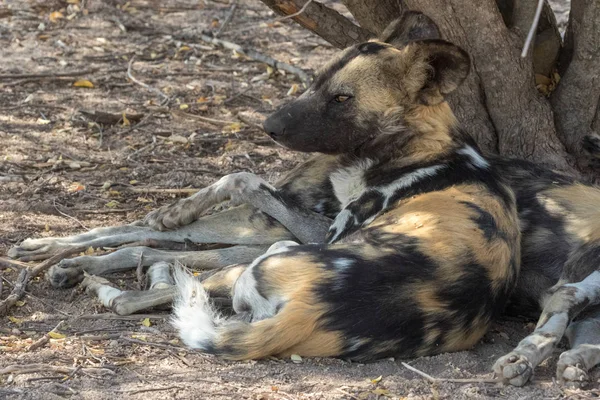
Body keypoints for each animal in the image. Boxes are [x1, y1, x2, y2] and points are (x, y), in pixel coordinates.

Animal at [7, 11, 600, 388]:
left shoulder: (318, 230)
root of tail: (307, 315)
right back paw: (57, 253)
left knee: (167, 272)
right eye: (315, 81)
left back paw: (107, 275)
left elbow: (238, 176)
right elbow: (210, 196)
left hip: (273, 250)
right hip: (264, 240)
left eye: (342, 99)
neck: (421, 145)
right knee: (155, 245)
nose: (269, 126)